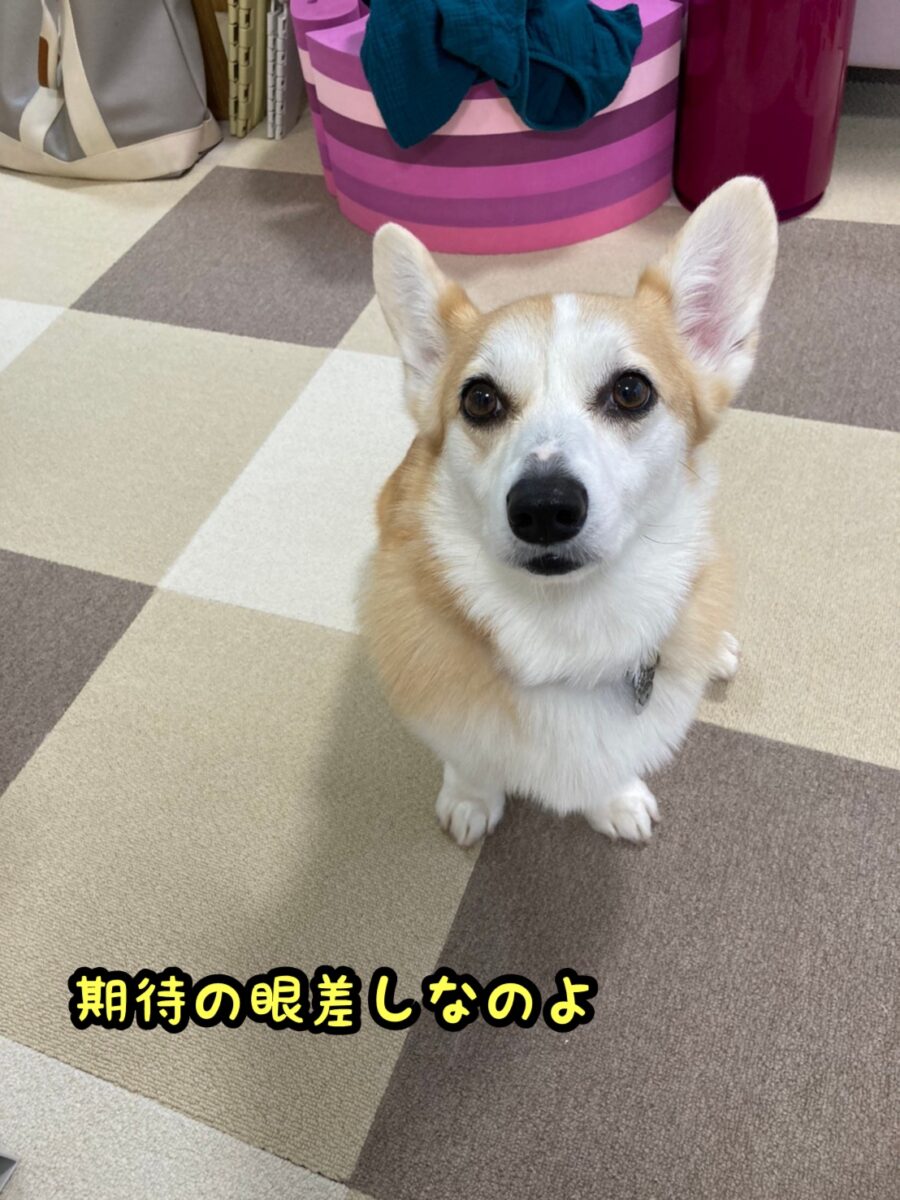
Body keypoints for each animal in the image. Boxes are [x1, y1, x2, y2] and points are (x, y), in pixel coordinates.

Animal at [360, 177, 778, 847]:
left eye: (631, 391)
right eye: (480, 400)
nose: (545, 507)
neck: (565, 629)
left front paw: (617, 800)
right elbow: (470, 758)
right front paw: (471, 799)